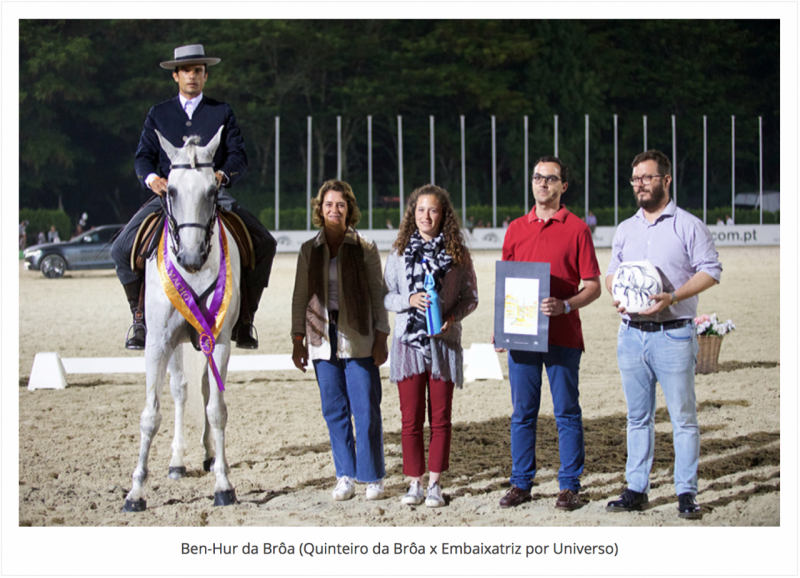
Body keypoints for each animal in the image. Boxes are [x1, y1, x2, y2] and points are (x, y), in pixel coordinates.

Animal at [122, 125, 241, 508]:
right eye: (171, 190)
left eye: (212, 190)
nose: (190, 257)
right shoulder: (158, 342)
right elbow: (150, 414)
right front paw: (136, 492)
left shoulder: (218, 341)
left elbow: (217, 409)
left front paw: (223, 484)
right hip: (173, 343)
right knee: (179, 390)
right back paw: (176, 462)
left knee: (202, 389)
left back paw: (208, 457)